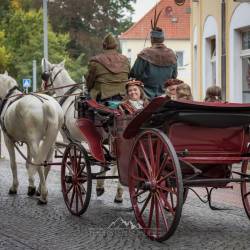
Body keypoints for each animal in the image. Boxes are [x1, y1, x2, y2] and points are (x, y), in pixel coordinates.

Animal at [0, 72, 63, 203]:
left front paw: (14, 187)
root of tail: (46, 104)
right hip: (51, 140)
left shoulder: (8, 139)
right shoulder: (28, 142)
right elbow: (28, 164)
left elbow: (13, 164)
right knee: (47, 162)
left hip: (35, 141)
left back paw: (43, 195)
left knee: (39, 162)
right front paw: (31, 186)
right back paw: (39, 189)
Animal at [41, 59, 124, 202]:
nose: (43, 89)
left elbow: (72, 160)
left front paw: (74, 180)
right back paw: (116, 192)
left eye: (45, 75)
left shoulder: (69, 139)